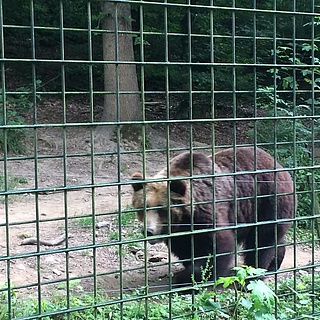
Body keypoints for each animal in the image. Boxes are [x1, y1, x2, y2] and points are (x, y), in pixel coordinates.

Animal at [131, 147, 296, 284]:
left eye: (162, 210)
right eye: (142, 208)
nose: (148, 231)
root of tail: (280, 167)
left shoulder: (208, 212)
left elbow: (219, 246)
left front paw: (188, 277)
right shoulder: (181, 234)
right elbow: (186, 249)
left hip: (268, 200)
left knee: (262, 240)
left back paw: (254, 272)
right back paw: (274, 264)